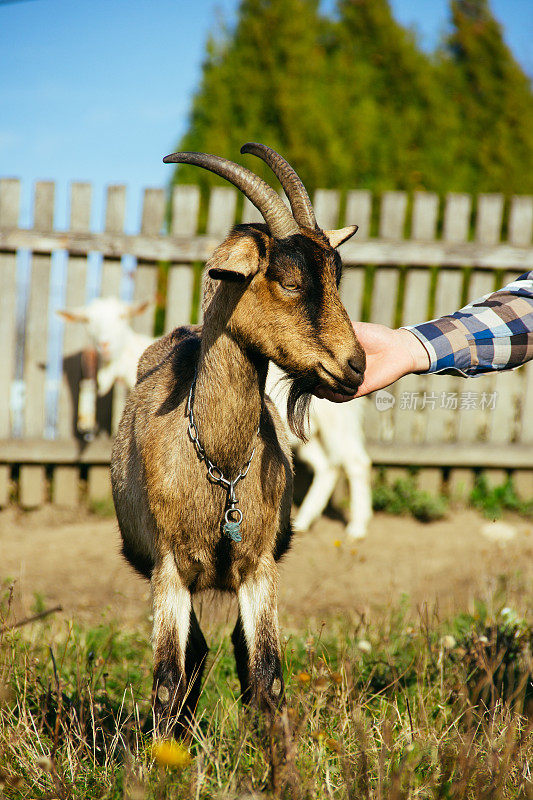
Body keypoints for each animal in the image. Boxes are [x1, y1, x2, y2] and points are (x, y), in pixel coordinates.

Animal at [110, 142, 364, 732]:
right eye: (289, 279)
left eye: (336, 275)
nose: (356, 365)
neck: (219, 463)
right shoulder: (168, 567)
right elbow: (165, 680)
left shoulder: (259, 566)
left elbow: (267, 673)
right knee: (195, 654)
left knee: (233, 655)